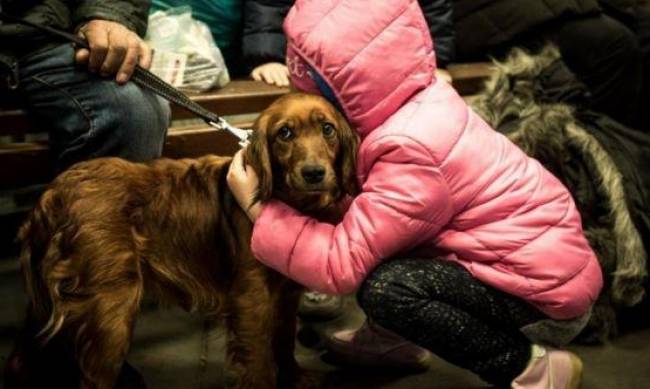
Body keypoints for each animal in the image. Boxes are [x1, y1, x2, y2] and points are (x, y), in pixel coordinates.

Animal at [5, 92, 356, 386]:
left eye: (327, 129)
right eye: (285, 134)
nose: (314, 173)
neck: (290, 202)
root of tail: (52, 194)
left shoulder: (286, 295)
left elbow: (284, 342)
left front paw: (296, 378)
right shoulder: (251, 301)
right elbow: (259, 365)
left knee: (22, 358)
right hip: (110, 311)